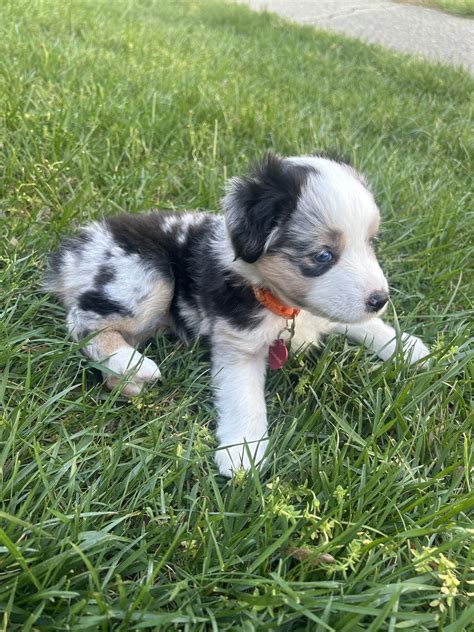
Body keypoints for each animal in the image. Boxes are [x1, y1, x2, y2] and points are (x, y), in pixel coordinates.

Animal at [45, 156, 430, 476]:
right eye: (323, 256)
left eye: (371, 242)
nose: (380, 298)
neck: (283, 303)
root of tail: (77, 250)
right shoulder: (238, 343)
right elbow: (244, 398)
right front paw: (242, 454)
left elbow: (369, 326)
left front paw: (410, 348)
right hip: (149, 276)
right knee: (85, 322)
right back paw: (134, 365)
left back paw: (124, 380)